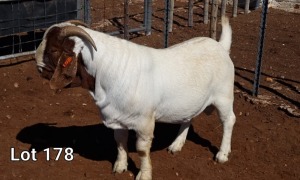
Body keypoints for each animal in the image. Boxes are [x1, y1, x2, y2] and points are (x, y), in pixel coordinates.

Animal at [35, 16, 236, 179]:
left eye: (53, 50)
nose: (38, 67)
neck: (110, 70)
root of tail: (220, 46)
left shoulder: (144, 122)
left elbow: (141, 150)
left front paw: (144, 175)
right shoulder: (117, 117)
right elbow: (120, 142)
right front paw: (120, 166)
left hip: (224, 97)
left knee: (229, 120)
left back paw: (222, 154)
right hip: (189, 102)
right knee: (188, 118)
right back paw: (176, 145)